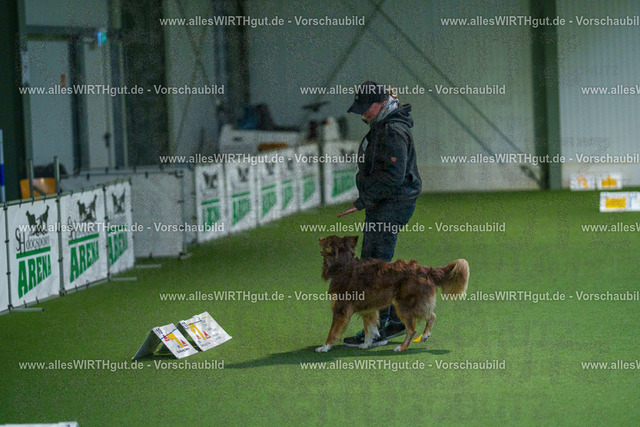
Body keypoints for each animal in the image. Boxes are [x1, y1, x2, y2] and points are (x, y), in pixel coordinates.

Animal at [316, 235, 469, 352]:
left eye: (326, 241)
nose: (319, 238)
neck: (343, 265)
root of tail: (425, 270)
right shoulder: (368, 309)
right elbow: (369, 328)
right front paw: (366, 344)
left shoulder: (340, 310)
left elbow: (333, 331)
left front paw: (325, 347)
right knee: (430, 315)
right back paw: (424, 335)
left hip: (404, 305)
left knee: (416, 326)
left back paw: (403, 347)